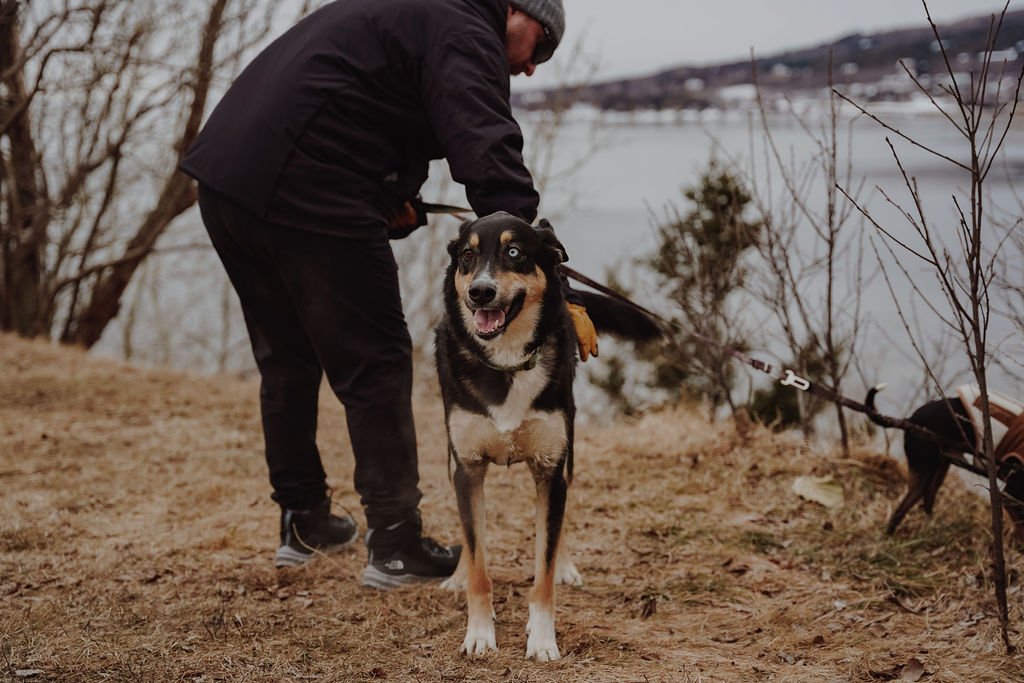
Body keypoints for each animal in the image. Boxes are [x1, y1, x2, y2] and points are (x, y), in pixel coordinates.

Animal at [434, 214, 659, 663]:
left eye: (514, 252)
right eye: (467, 255)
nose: (479, 291)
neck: (506, 360)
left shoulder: (550, 469)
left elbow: (545, 567)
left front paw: (541, 639)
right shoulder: (467, 469)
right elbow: (479, 563)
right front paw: (479, 634)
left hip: (566, 451)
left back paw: (566, 564)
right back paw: (458, 573)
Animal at [864, 382, 1024, 540]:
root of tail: (910, 420)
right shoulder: (1010, 497)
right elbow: (1020, 530)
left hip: (939, 469)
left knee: (927, 501)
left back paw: (931, 531)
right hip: (923, 471)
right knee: (901, 510)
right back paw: (890, 538)